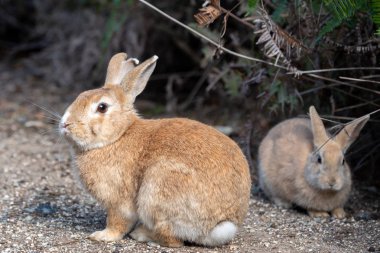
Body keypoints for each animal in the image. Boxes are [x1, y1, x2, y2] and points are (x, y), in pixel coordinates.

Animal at [59, 52, 251, 247]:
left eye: (102, 107)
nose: (65, 124)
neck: (118, 136)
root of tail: (219, 225)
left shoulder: (118, 201)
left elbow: (118, 221)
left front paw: (102, 236)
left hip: (156, 190)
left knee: (172, 239)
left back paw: (142, 234)